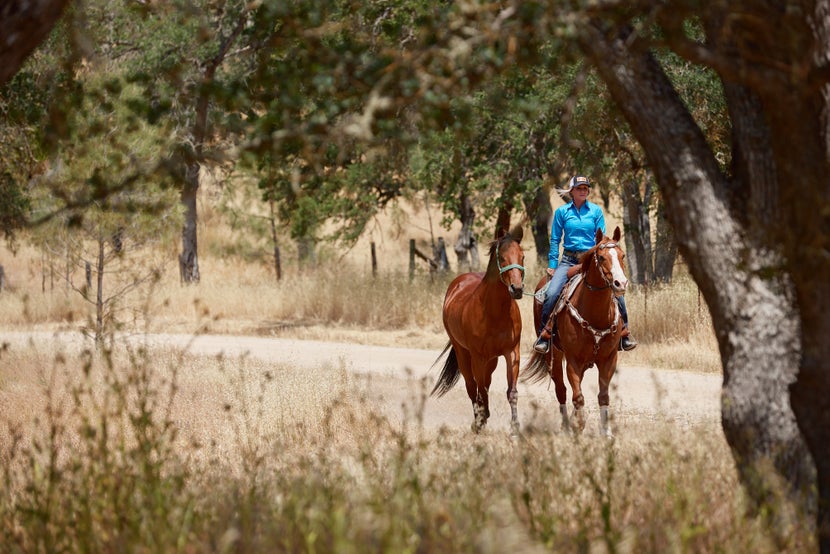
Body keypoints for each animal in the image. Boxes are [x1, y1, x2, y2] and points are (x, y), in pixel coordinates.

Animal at [428, 222, 528, 434]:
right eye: (502, 257)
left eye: (522, 256)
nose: (517, 289)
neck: (495, 313)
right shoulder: (478, 357)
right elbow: (479, 388)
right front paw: (480, 420)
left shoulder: (511, 352)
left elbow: (511, 391)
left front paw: (515, 427)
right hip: (463, 353)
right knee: (471, 385)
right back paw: (478, 419)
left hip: (491, 360)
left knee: (484, 384)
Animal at [528, 226, 632, 434]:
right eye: (601, 257)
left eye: (622, 255)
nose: (621, 284)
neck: (595, 313)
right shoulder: (573, 360)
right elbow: (578, 396)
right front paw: (579, 425)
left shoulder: (609, 359)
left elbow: (603, 396)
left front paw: (606, 432)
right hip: (553, 354)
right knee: (561, 390)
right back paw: (567, 426)